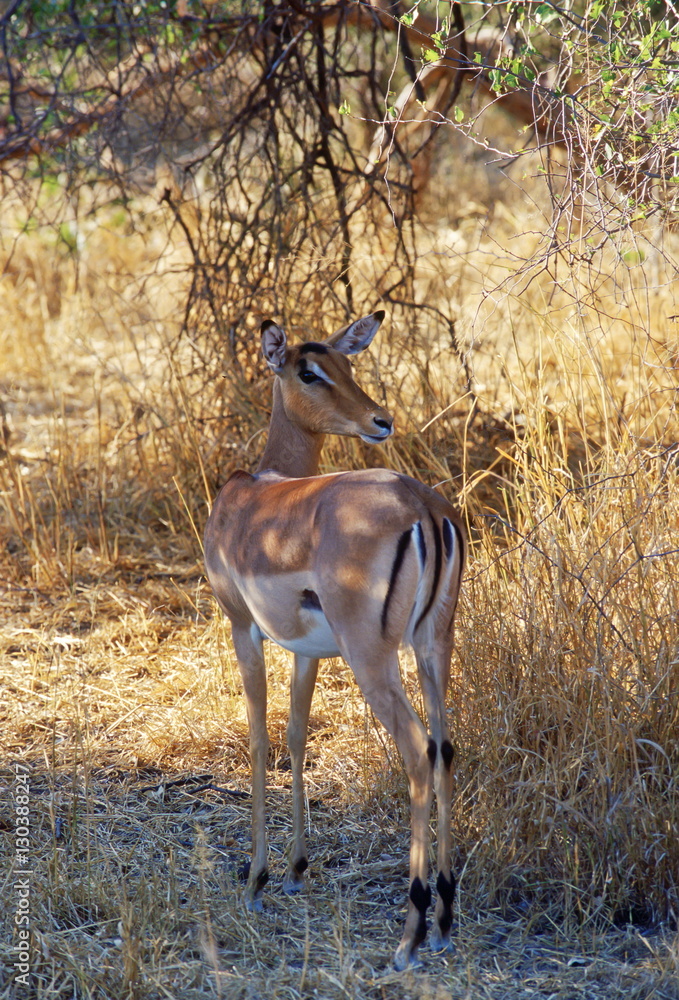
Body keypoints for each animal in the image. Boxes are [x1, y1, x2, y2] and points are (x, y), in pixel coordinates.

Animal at [204, 311, 465, 969]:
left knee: (416, 749)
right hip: (433, 647)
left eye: (345, 363)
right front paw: (296, 868)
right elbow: (297, 736)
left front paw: (257, 879)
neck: (258, 493)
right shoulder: (307, 651)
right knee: (445, 746)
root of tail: (423, 508)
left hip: (373, 657)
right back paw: (445, 915)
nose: (381, 421)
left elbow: (258, 741)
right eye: (312, 370)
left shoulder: (242, 627)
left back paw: (410, 933)